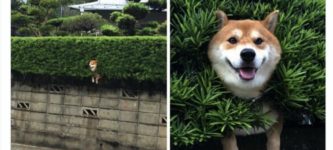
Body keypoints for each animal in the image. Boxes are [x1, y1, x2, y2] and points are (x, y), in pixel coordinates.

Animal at [208, 10, 282, 150]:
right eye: (232, 40)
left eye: (258, 41)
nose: (248, 53)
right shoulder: (223, 126)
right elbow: (230, 142)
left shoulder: (276, 120)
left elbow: (274, 142)